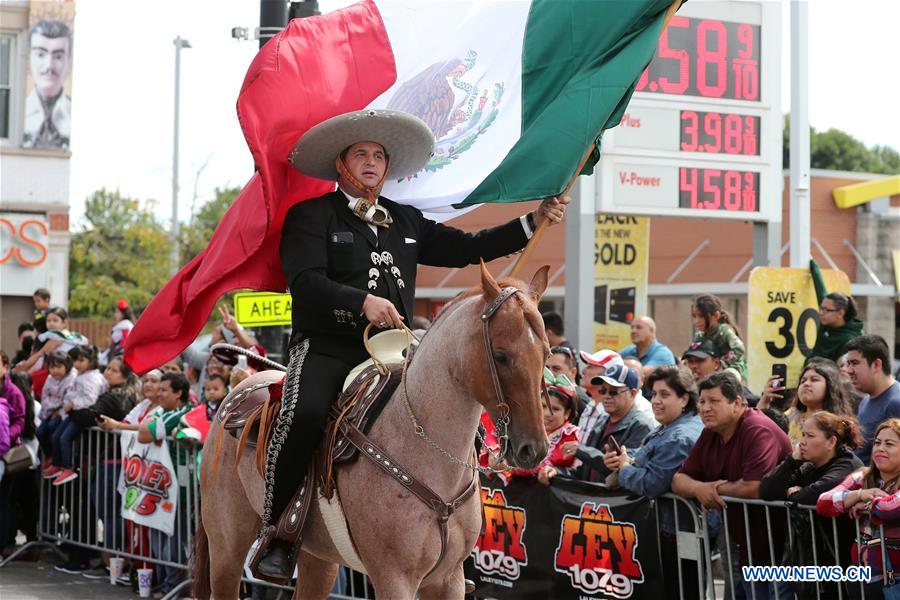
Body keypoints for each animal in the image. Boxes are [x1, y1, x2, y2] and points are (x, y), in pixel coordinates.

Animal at [193, 264, 552, 596]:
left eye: (546, 352)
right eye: (500, 355)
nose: (533, 449)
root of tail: (241, 389)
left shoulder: (447, 579)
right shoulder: (394, 578)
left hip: (319, 558)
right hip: (227, 547)